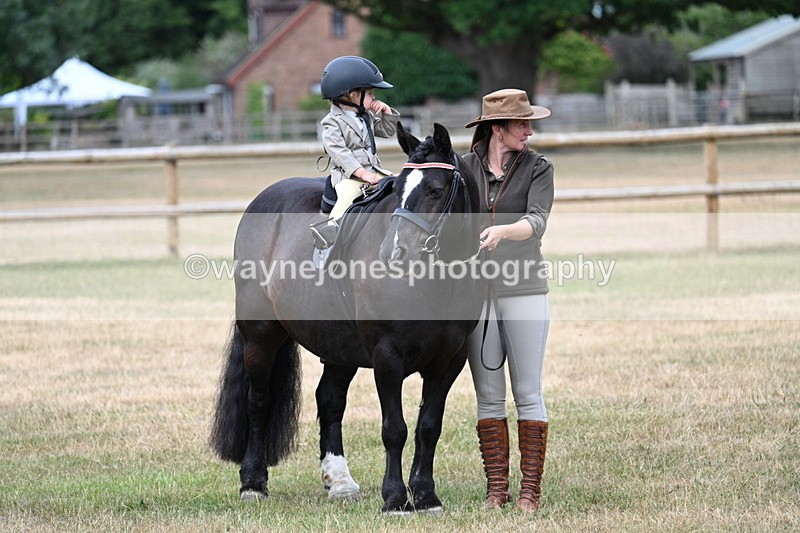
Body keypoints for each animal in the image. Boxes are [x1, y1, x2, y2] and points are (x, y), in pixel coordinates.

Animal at [210, 123, 483, 515]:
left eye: (435, 189)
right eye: (398, 189)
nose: (394, 252)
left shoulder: (449, 361)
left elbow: (429, 427)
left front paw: (425, 495)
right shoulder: (387, 357)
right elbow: (395, 429)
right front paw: (395, 498)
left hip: (339, 348)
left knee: (329, 400)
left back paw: (339, 481)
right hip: (260, 337)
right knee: (258, 401)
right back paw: (253, 482)